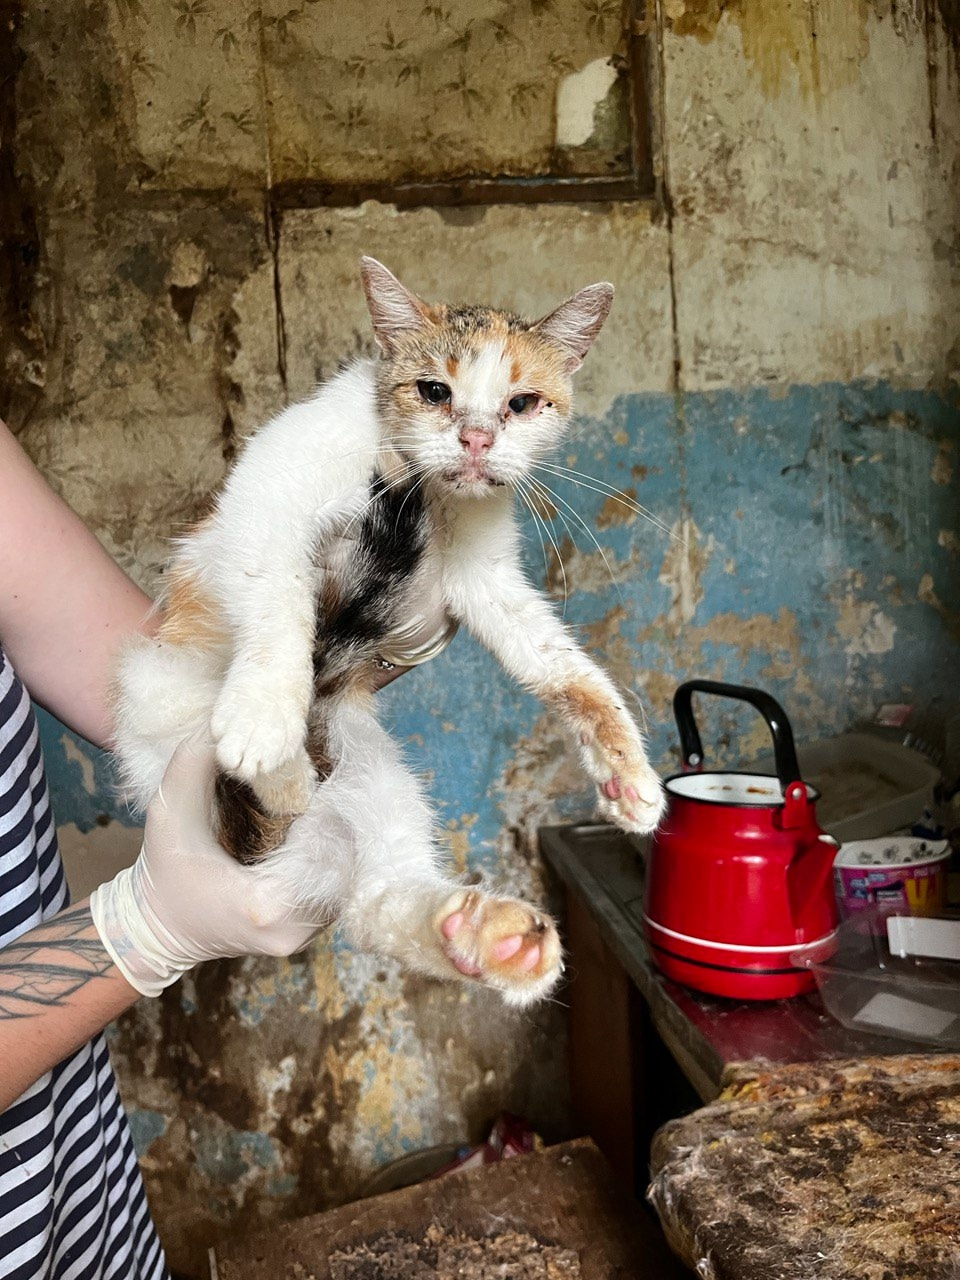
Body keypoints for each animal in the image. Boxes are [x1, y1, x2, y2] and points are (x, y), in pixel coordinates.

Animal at [113, 258, 666, 1008]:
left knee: (377, 902)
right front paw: (263, 715)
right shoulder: (266, 495)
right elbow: (277, 594)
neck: (430, 494)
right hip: (162, 705)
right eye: (434, 391)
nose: (476, 439)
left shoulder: (483, 574)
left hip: (375, 781)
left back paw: (482, 936)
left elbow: (556, 660)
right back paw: (285, 774)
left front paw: (625, 771)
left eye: (522, 403)